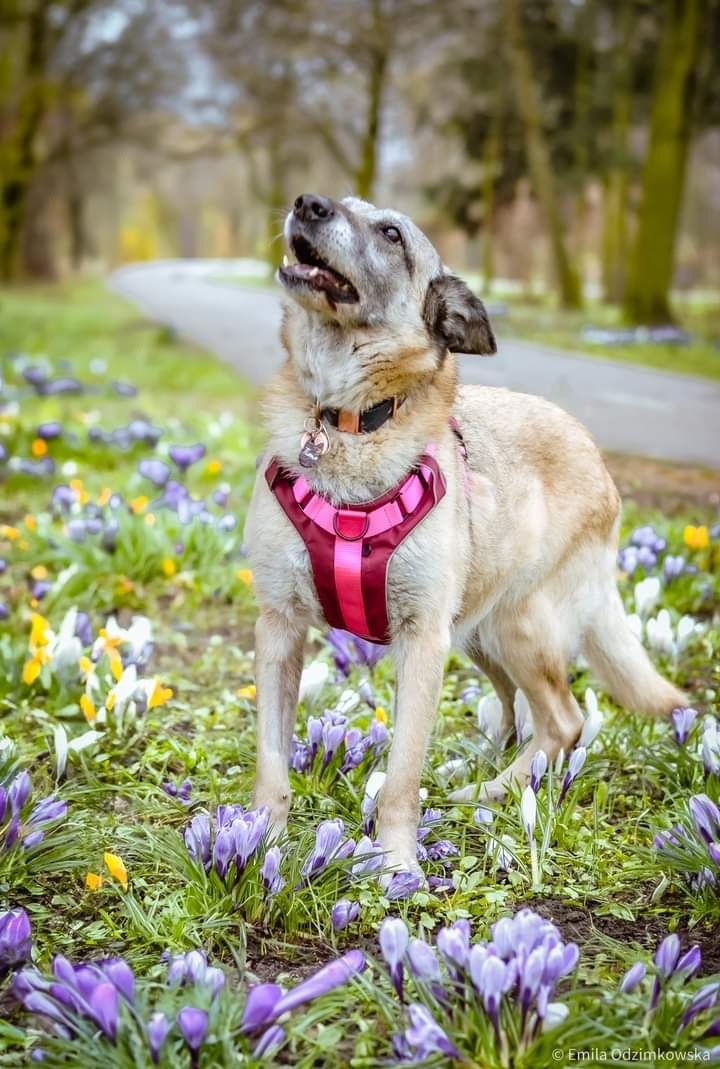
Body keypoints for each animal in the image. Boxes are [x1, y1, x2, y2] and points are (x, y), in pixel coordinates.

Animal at [243, 192, 687, 876]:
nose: (307, 203)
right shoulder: (280, 628)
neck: (350, 421)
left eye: (392, 234)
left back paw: (492, 791)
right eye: (337, 202)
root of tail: (597, 455)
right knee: (513, 710)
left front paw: (396, 862)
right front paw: (258, 841)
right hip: (476, 632)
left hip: (518, 627)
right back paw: (475, 768)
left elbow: (402, 772)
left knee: (562, 721)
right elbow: (271, 759)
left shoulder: (421, 640)